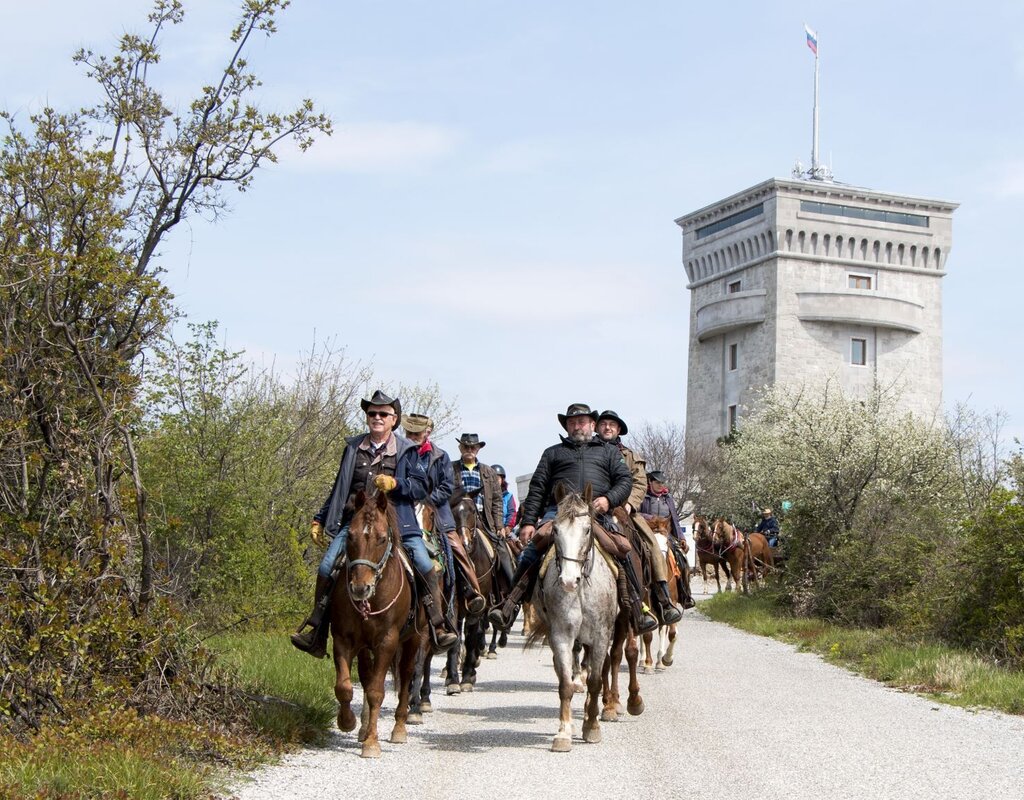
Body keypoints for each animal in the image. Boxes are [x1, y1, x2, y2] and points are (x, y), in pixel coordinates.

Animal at [327, 487, 423, 753]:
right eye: (350, 536)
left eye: (381, 538)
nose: (361, 588)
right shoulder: (343, 638)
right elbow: (345, 687)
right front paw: (347, 722)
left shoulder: (387, 642)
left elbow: (376, 692)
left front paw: (371, 743)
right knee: (366, 674)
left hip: (413, 639)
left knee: (406, 674)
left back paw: (399, 728)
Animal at [528, 483, 614, 753]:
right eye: (555, 530)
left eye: (587, 530)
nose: (568, 580)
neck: (582, 590)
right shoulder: (562, 636)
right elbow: (565, 684)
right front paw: (564, 732)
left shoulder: (600, 637)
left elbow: (596, 682)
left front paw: (592, 727)